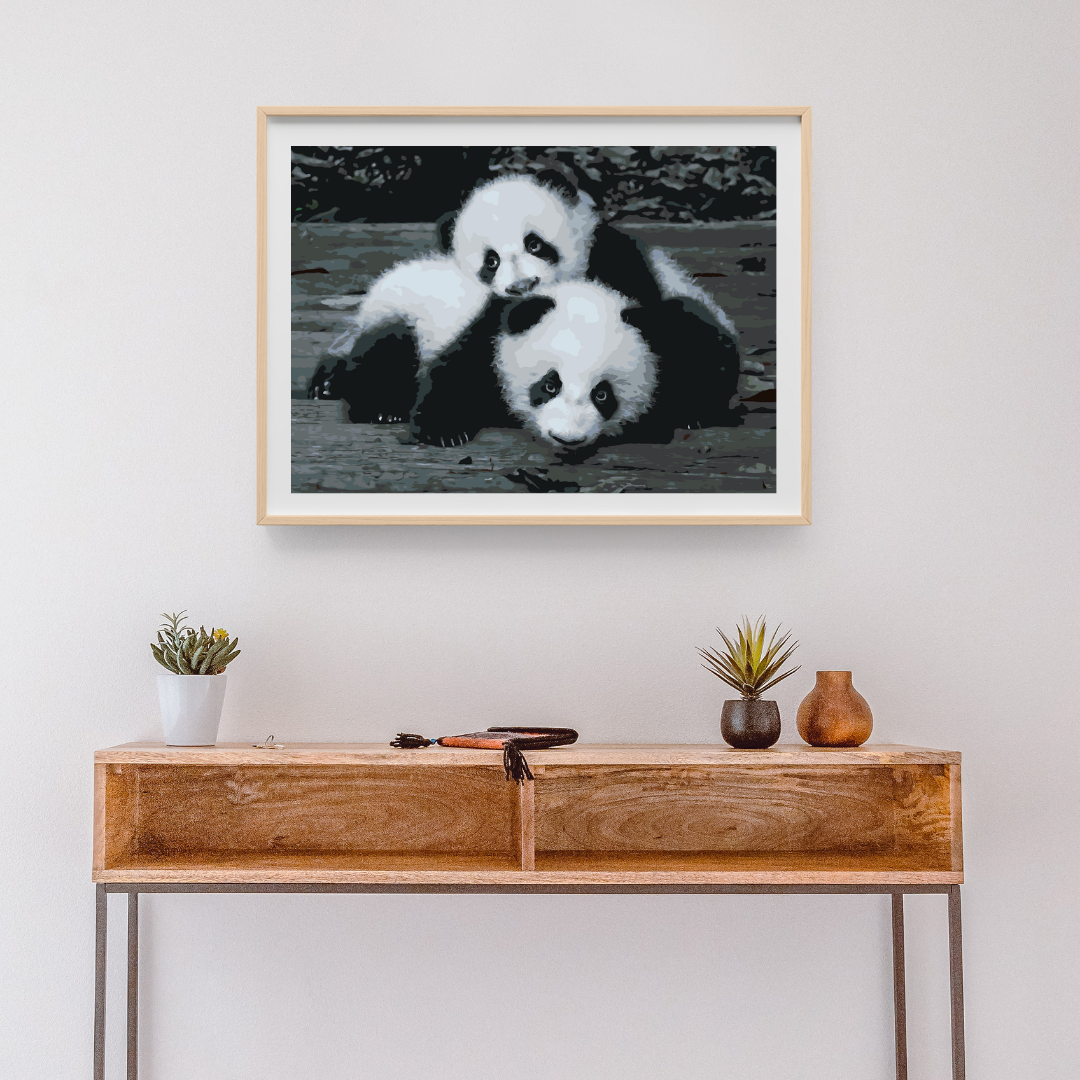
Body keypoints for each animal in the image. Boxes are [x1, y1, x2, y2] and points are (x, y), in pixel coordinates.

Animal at [407, 281, 742, 450]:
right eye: (549, 384)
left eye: (602, 394)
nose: (566, 439)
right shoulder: (492, 338)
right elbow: (456, 370)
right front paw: (443, 431)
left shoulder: (670, 340)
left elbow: (708, 350)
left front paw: (692, 412)